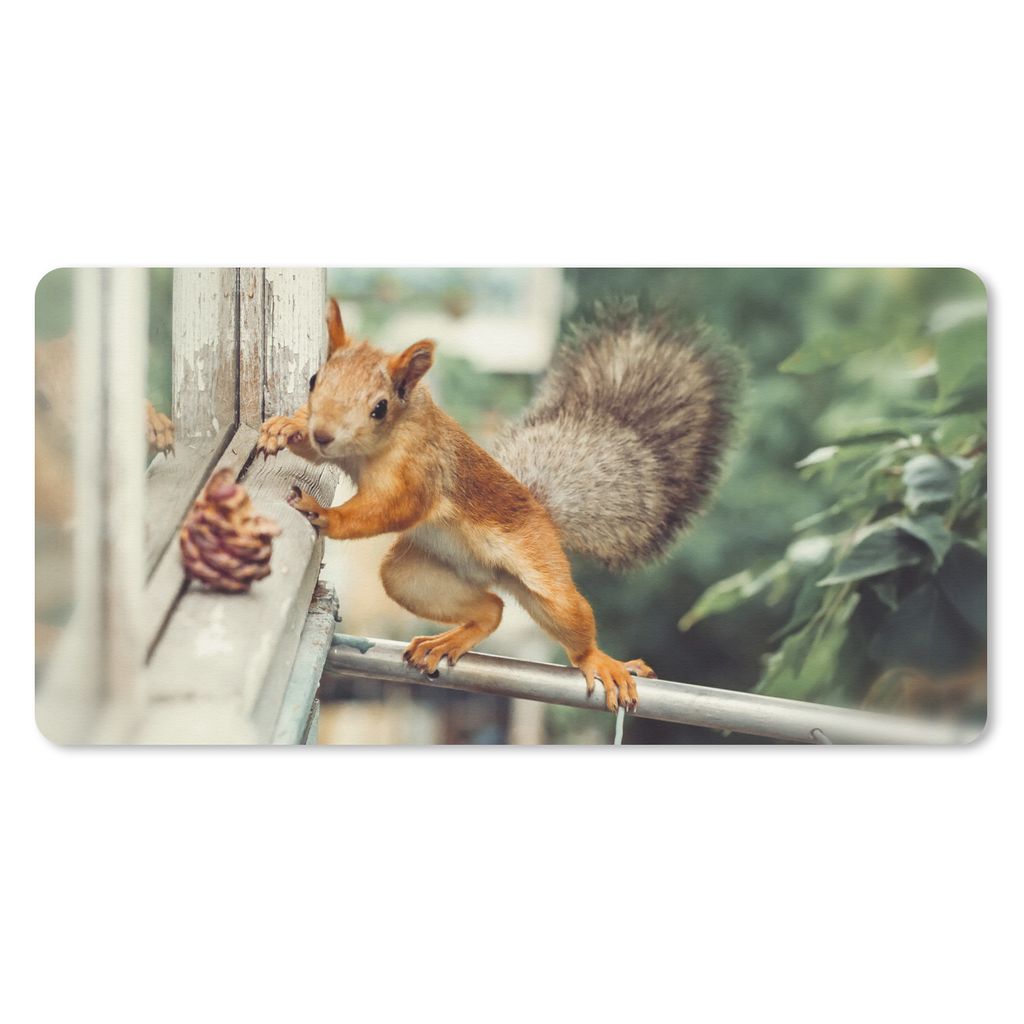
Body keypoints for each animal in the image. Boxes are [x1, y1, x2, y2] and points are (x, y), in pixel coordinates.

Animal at [258, 296, 741, 711]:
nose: (323, 432)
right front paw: (284, 429)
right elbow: (313, 454)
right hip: (413, 576)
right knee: (491, 608)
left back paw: (601, 661)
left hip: (545, 577)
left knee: (569, 622)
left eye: (379, 407)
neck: (379, 442)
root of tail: (542, 512)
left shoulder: (421, 474)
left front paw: (325, 513)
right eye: (313, 381)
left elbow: (392, 508)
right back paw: (446, 641)